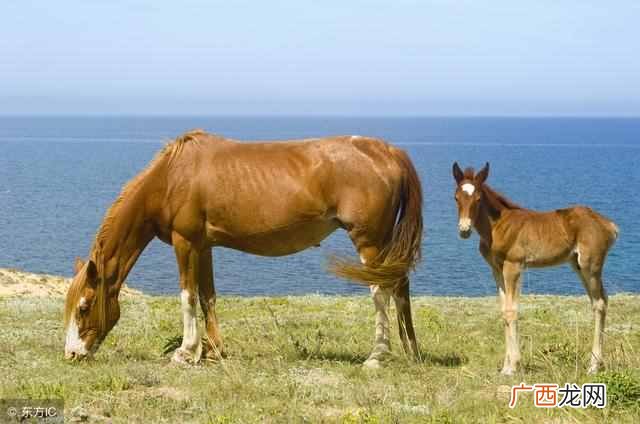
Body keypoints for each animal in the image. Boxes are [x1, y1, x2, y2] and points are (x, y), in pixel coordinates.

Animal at [64, 130, 423, 368]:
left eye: (84, 307)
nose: (71, 353)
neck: (170, 178)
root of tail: (389, 152)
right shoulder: (203, 246)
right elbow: (207, 297)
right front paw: (212, 350)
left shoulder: (185, 242)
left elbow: (187, 296)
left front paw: (186, 351)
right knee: (400, 286)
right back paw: (411, 350)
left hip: (370, 241)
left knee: (381, 291)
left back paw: (378, 355)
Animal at [452, 162, 618, 375]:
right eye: (456, 197)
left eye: (478, 198)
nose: (464, 229)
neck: (496, 226)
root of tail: (609, 225)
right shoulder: (496, 269)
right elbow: (503, 311)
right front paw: (505, 366)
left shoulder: (513, 266)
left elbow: (512, 311)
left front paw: (513, 366)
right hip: (578, 265)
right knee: (599, 300)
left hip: (591, 264)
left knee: (600, 303)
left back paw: (594, 365)